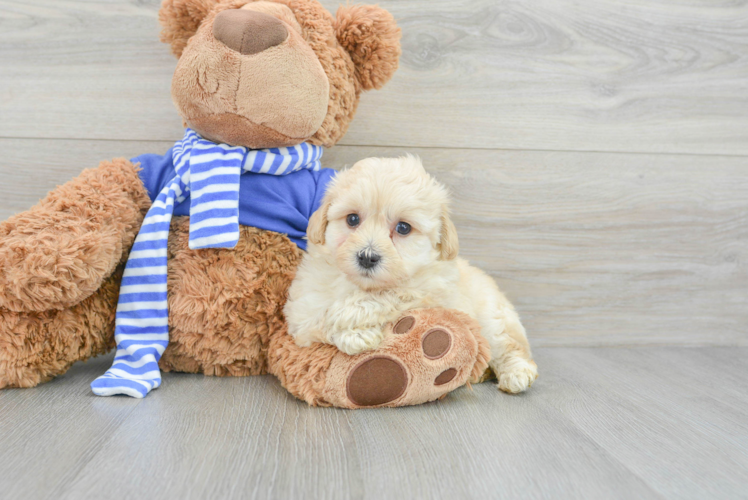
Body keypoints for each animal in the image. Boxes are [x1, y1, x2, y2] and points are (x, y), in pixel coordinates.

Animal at [284, 158, 536, 392]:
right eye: (352, 219)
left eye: (403, 228)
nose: (367, 257)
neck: (360, 285)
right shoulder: (302, 308)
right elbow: (316, 320)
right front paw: (356, 336)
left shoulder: (432, 290)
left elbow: (390, 295)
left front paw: (348, 315)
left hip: (493, 319)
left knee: (509, 346)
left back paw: (517, 374)